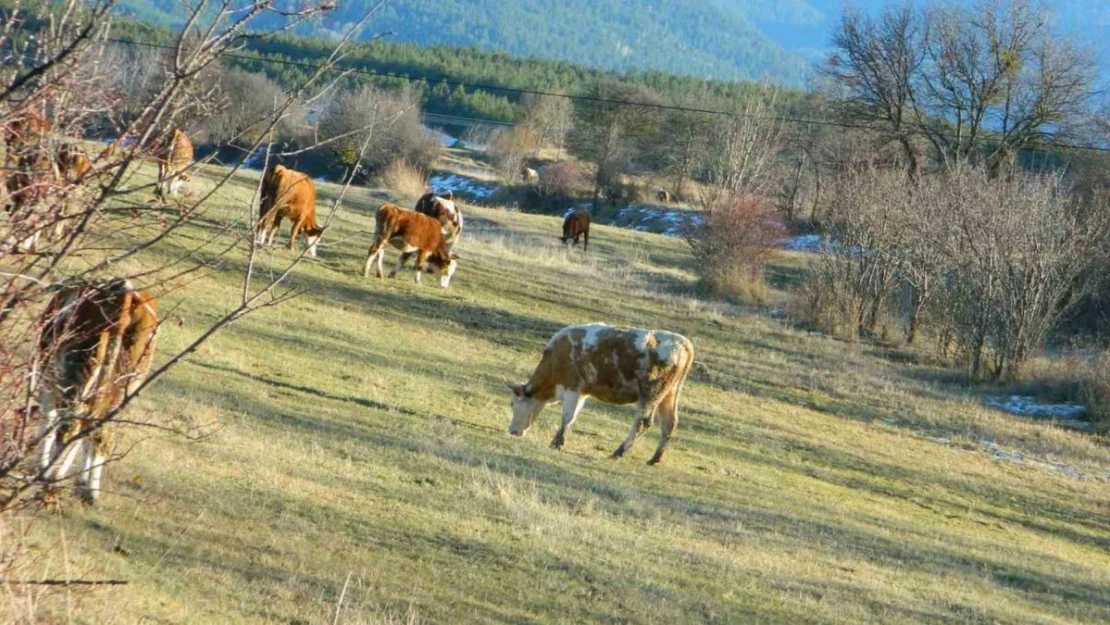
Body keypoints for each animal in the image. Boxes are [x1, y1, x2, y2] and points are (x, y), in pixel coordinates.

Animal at [35, 277, 158, 503]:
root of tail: (124, 290)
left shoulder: (48, 379)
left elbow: (47, 419)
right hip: (125, 384)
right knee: (99, 432)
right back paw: (89, 491)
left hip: (78, 372)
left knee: (70, 427)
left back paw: (49, 477)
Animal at [506, 321, 692, 464]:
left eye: (513, 404)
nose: (512, 431)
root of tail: (682, 343)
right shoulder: (582, 392)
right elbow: (573, 417)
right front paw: (558, 441)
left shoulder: (572, 387)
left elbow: (567, 417)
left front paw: (556, 443)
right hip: (669, 394)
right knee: (669, 423)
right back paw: (654, 459)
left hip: (651, 393)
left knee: (643, 422)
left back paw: (618, 452)